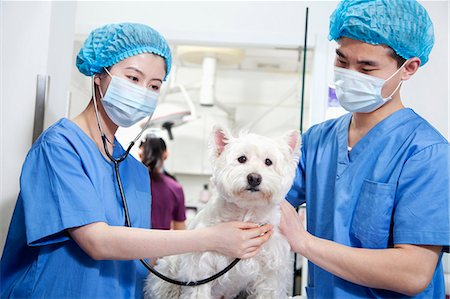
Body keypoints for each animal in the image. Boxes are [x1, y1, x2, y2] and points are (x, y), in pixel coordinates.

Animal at [146, 127, 300, 299]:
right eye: (242, 159)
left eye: (268, 162)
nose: (254, 178)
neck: (246, 213)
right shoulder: (200, 271)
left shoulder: (270, 275)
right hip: (168, 272)